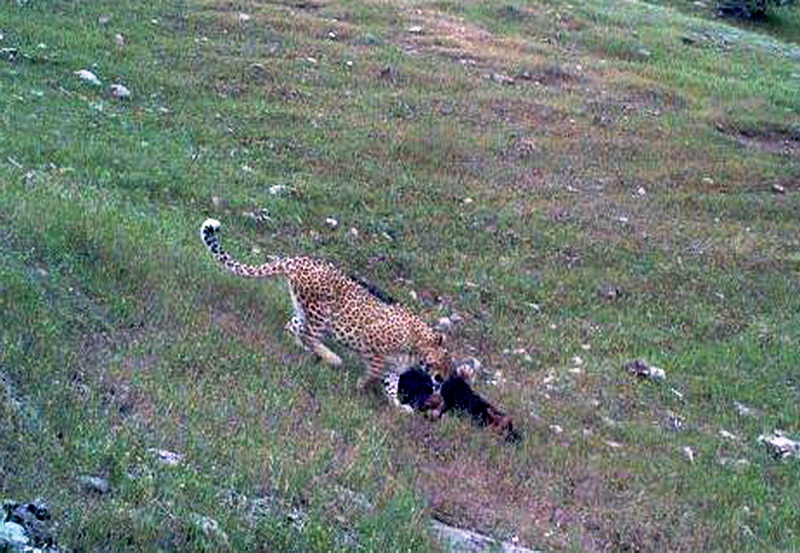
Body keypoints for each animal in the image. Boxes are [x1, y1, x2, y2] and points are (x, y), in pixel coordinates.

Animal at [198, 218, 450, 390]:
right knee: (310, 335)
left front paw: (399, 408)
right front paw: (361, 384)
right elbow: (375, 370)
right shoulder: (373, 342)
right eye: (444, 362)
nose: (442, 379)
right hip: (321, 312)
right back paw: (331, 358)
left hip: (305, 310)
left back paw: (301, 348)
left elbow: (390, 384)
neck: (417, 350)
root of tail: (297, 260)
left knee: (294, 327)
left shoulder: (394, 368)